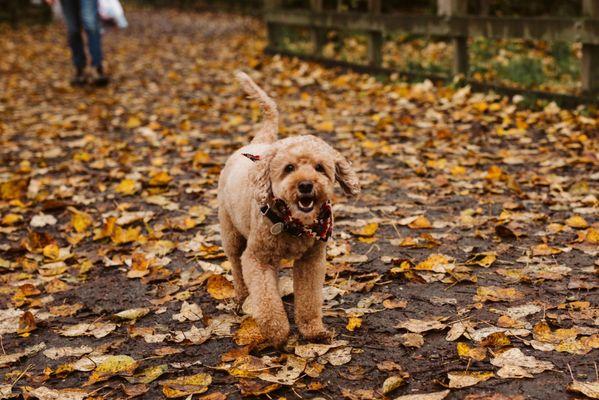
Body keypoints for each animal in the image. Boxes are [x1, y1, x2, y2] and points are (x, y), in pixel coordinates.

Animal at [220, 72, 360, 346]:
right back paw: (242, 299)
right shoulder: (257, 258)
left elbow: (309, 298)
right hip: (231, 234)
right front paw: (278, 333)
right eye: (289, 168)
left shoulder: (311, 259)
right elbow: (266, 300)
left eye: (319, 168)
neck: (294, 223)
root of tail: (258, 143)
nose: (306, 185)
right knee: (237, 268)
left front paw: (312, 330)